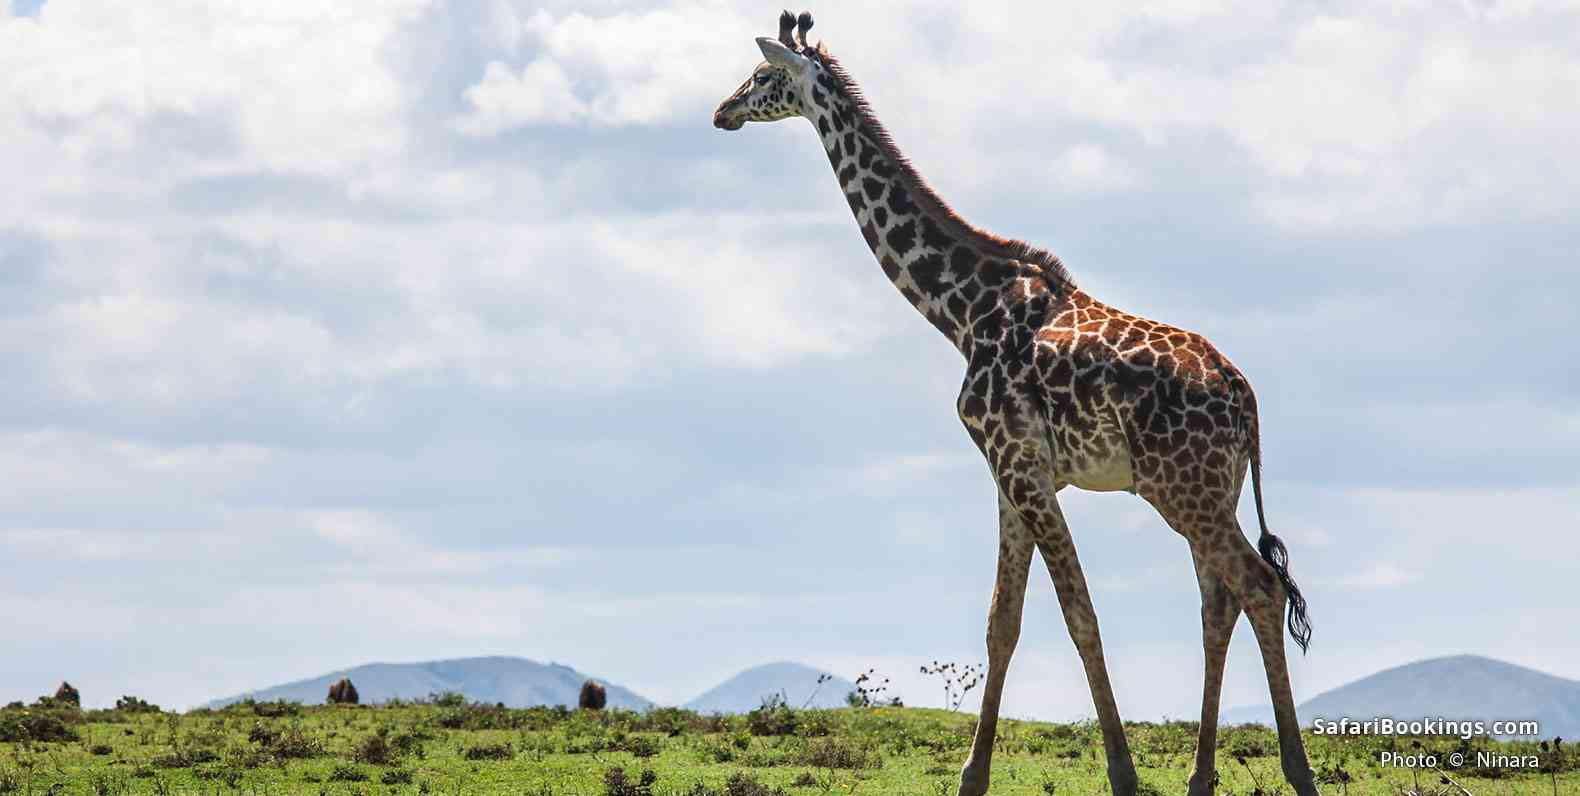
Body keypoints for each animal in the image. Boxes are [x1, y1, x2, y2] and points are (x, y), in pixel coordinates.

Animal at [713, 12, 1317, 796]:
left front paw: (1122, 773)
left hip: (1181, 491)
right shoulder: (1012, 472)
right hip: (1214, 491)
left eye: (762, 76)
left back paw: (1297, 771)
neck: (960, 309)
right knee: (1220, 603)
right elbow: (1003, 621)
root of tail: (1243, 394)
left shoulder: (1019, 463)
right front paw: (972, 776)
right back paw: (1200, 777)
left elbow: (1079, 612)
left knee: (1260, 588)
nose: (720, 111)